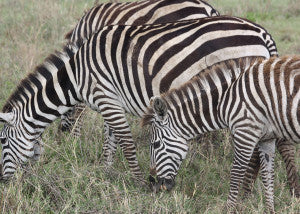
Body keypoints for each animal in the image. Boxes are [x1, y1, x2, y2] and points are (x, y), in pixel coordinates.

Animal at [0, 15, 278, 181]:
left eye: (2, 141)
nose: (5, 181)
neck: (76, 75)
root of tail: (261, 32)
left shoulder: (105, 97)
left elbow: (125, 141)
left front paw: (136, 180)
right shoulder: (111, 100)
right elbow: (110, 139)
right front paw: (107, 171)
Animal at [142, 56, 300, 213]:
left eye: (156, 144)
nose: (153, 184)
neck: (226, 100)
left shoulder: (245, 133)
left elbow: (236, 174)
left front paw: (229, 209)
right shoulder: (266, 138)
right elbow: (268, 175)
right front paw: (270, 210)